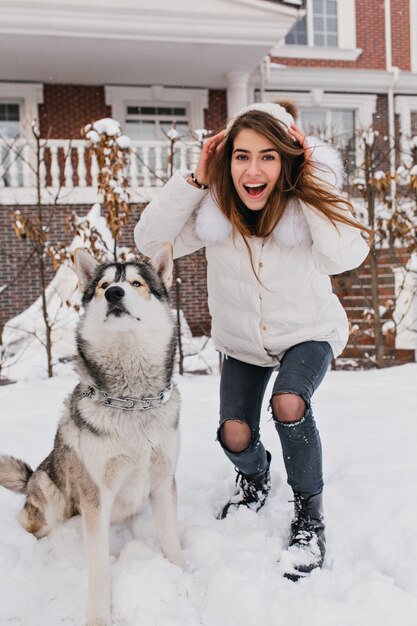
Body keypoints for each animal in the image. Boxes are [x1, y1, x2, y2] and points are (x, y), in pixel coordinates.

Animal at [0, 245, 184, 624]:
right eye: (102, 286)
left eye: (137, 283)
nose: (115, 293)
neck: (133, 402)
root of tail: (30, 480)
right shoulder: (96, 495)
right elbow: (98, 569)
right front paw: (99, 617)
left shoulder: (162, 482)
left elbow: (171, 539)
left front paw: (183, 576)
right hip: (49, 490)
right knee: (35, 524)